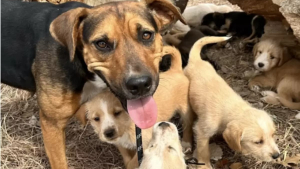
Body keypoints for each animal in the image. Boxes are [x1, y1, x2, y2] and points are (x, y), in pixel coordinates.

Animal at [184, 36, 280, 168]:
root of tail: (196, 60)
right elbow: (203, 151)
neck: (233, 108)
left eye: (273, 135)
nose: (277, 156)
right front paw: (205, 165)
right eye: (258, 142)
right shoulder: (202, 131)